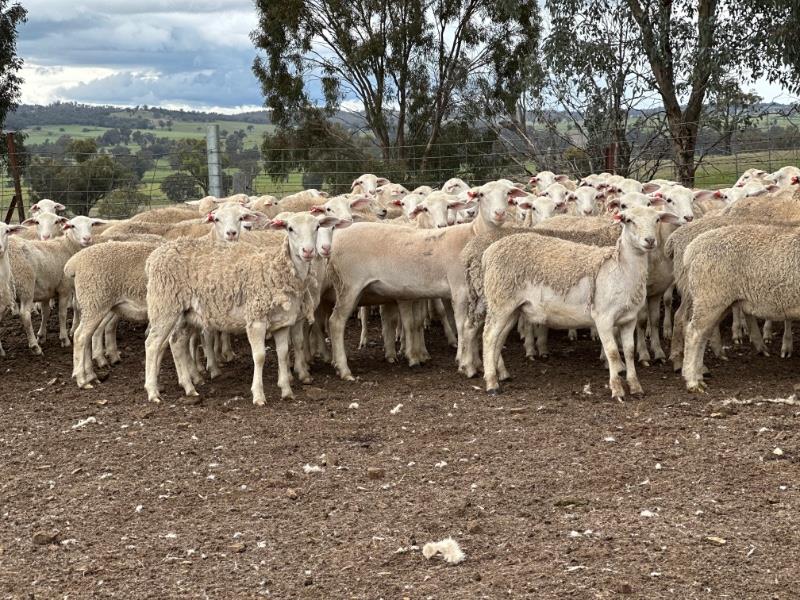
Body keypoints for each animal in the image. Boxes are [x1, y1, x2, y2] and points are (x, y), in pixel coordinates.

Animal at [145, 213, 340, 406]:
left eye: (317, 227)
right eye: (290, 229)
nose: (308, 251)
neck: (277, 270)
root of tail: (154, 256)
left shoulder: (282, 323)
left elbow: (283, 354)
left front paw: (286, 391)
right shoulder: (256, 319)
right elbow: (260, 356)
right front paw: (259, 395)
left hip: (185, 313)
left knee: (177, 342)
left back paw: (189, 387)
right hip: (164, 306)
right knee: (152, 344)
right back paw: (153, 392)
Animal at [478, 206, 680, 398]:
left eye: (657, 219)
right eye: (628, 220)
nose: (650, 240)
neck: (621, 269)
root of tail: (489, 252)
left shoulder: (629, 318)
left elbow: (629, 351)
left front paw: (636, 387)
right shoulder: (603, 318)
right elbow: (613, 352)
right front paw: (617, 389)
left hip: (512, 307)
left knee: (498, 338)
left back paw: (500, 374)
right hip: (500, 302)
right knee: (488, 337)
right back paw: (492, 384)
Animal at [680, 223, 800, 392]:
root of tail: (693, 248)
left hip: (718, 302)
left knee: (703, 335)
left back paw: (699, 376)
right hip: (709, 297)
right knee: (694, 334)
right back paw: (692, 382)